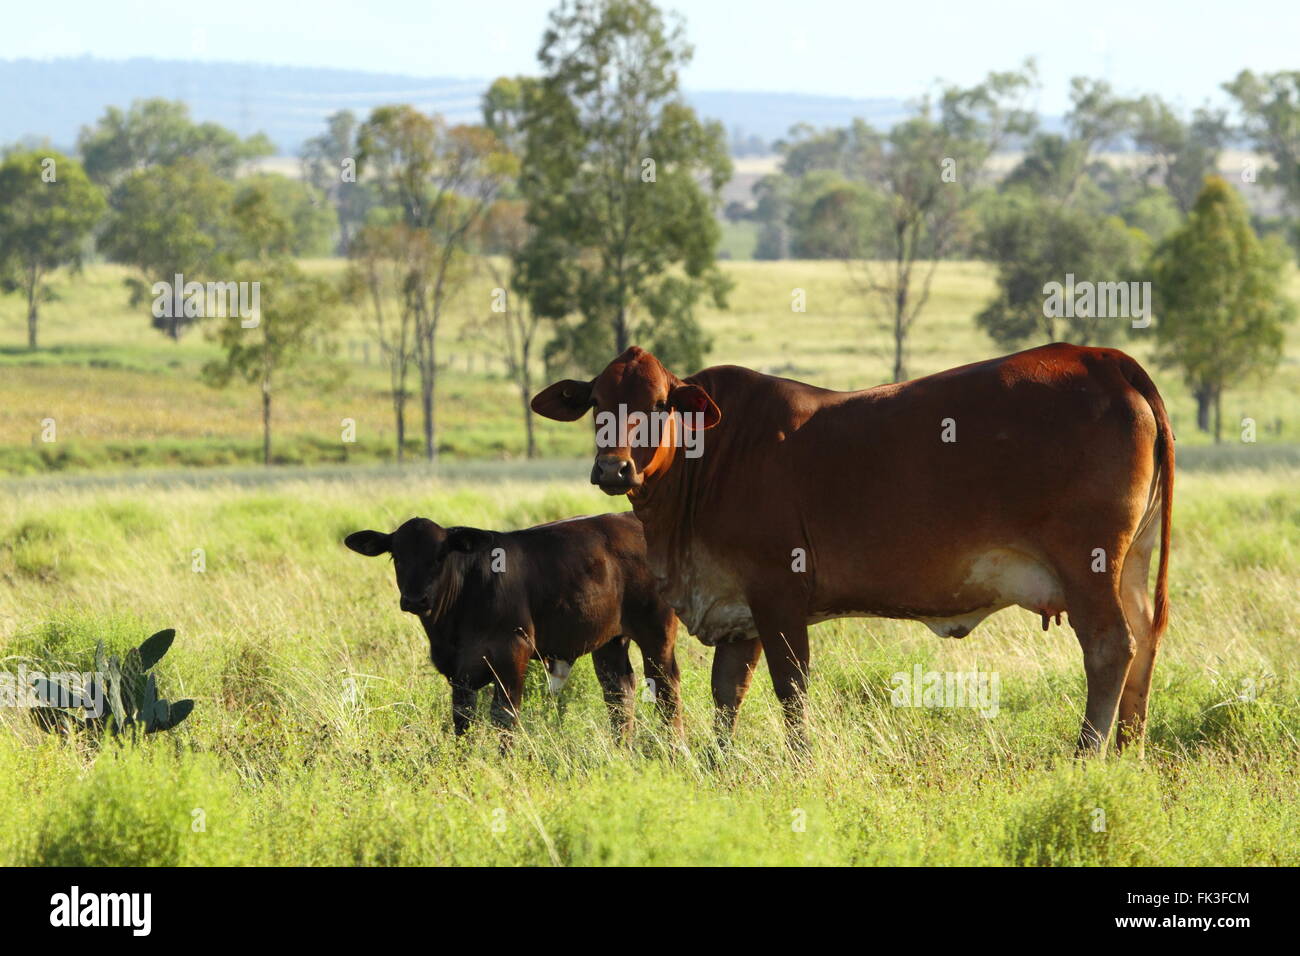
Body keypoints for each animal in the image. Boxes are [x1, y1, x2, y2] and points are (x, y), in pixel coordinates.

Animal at [340, 515, 686, 738]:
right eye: (396, 556)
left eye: (440, 556)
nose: (415, 599)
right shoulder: (457, 672)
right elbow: (462, 721)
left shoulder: (511, 654)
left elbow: (504, 716)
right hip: (609, 640)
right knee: (619, 693)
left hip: (657, 633)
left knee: (666, 690)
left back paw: (674, 751)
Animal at [533, 343, 1175, 754]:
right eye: (598, 403)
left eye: (658, 405)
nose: (612, 468)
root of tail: (1102, 358)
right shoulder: (737, 610)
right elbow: (727, 693)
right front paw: (720, 763)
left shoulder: (778, 593)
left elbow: (790, 688)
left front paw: (800, 761)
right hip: (1129, 566)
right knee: (1144, 641)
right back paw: (1129, 753)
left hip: (1088, 566)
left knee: (1110, 647)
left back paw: (1087, 754)